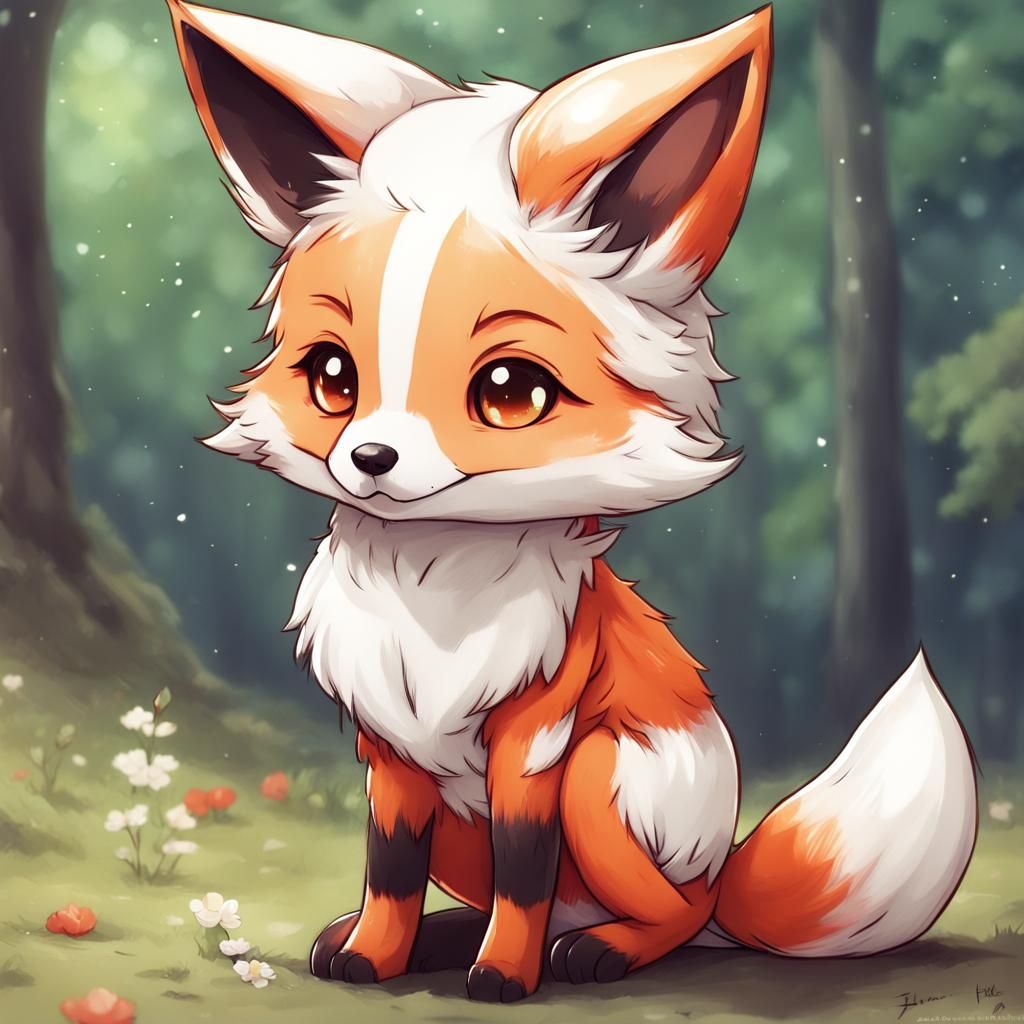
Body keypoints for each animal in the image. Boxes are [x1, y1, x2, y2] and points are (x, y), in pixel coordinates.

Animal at [168, 0, 978, 1004]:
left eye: (511, 392)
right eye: (332, 376)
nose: (370, 458)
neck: (433, 591)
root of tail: (721, 868)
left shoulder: (537, 740)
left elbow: (525, 871)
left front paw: (503, 978)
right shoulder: (393, 753)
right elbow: (389, 869)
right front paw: (374, 955)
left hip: (605, 782)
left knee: (667, 917)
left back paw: (597, 951)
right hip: (467, 822)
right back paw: (443, 937)